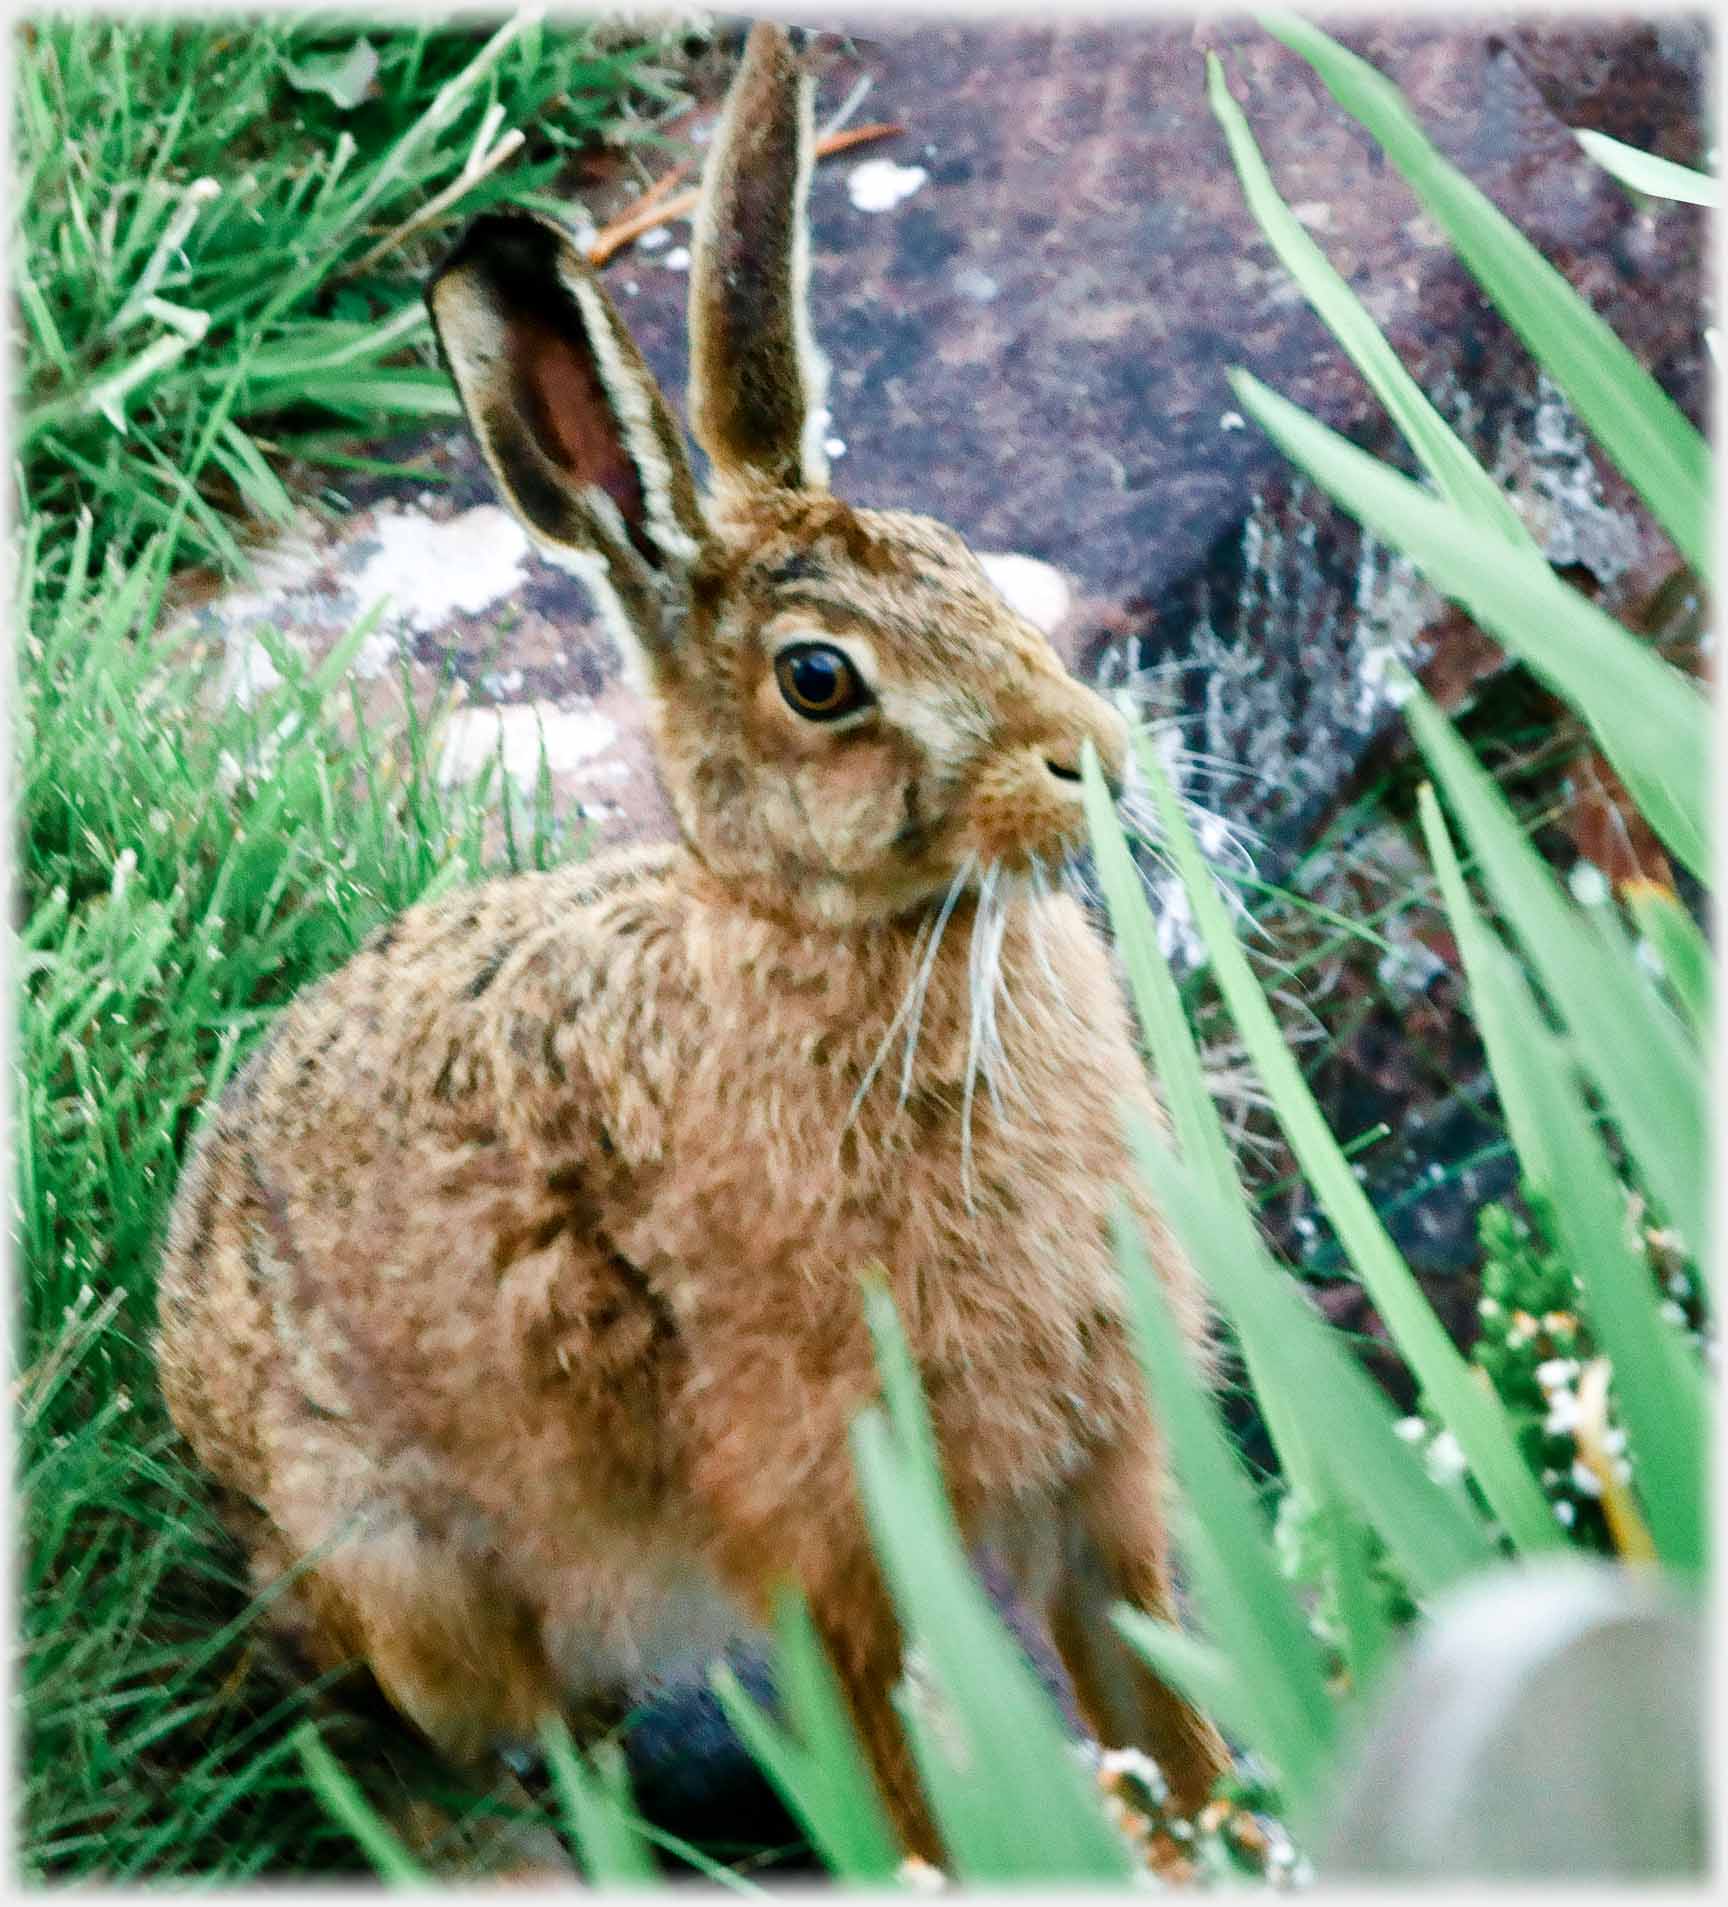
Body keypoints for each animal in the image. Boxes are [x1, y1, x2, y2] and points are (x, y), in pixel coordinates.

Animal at [154, 20, 1230, 1869]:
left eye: (958, 559)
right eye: (820, 679)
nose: (1090, 753)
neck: (847, 945)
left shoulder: (1100, 1491)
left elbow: (1177, 1732)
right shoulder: (837, 1540)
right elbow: (904, 1791)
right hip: (416, 1577)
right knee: (465, 1737)